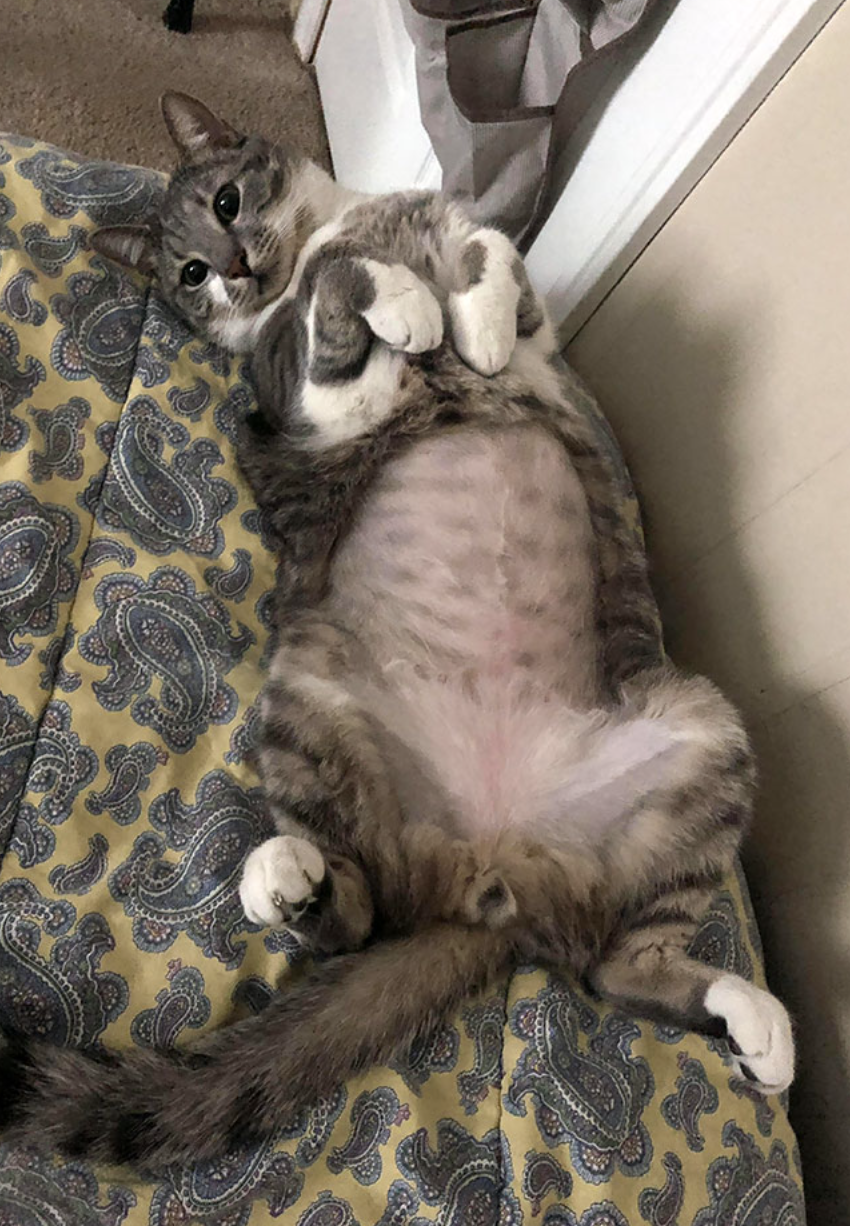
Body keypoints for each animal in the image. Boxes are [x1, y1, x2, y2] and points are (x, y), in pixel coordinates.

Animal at [0, 93, 794, 1171]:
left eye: (227, 199)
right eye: (190, 275)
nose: (238, 265)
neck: (339, 232)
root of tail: (495, 876)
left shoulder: (500, 278)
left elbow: (494, 255)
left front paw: (476, 324)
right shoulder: (302, 391)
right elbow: (344, 292)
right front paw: (411, 307)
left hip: (704, 734)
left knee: (617, 967)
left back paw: (756, 1022)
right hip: (310, 689)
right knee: (364, 914)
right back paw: (287, 880)